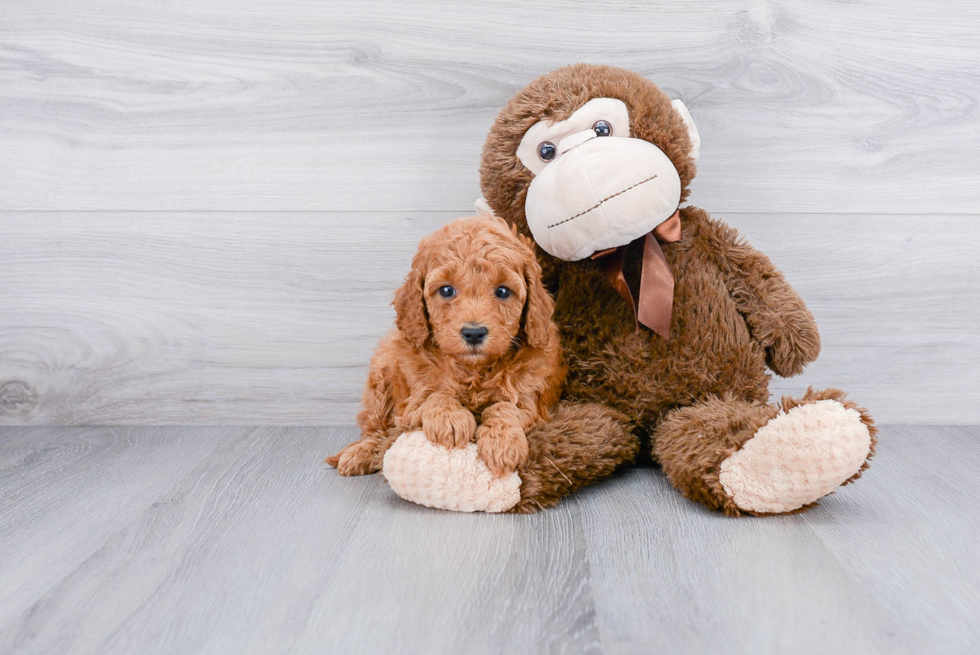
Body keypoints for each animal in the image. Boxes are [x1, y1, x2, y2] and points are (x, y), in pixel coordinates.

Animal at [326, 215, 564, 476]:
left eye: (503, 291)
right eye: (447, 290)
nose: (474, 333)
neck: (473, 371)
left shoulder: (532, 402)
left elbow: (505, 407)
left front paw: (502, 443)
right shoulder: (411, 404)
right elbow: (435, 396)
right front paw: (450, 420)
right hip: (381, 373)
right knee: (377, 429)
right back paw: (360, 453)